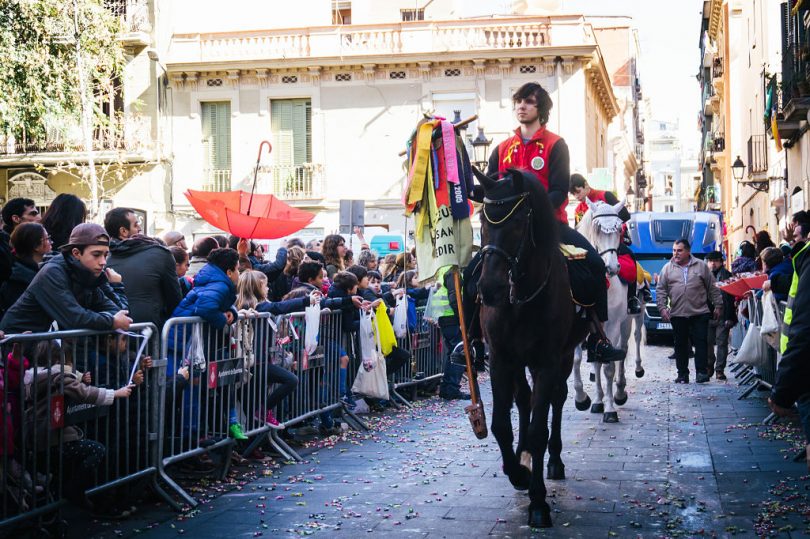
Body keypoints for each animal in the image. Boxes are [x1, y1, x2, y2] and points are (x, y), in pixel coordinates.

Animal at [470, 168, 584, 528]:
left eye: (519, 222)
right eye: (483, 219)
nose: (488, 288)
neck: (519, 299)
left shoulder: (547, 361)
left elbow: (537, 429)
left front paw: (538, 502)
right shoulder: (501, 360)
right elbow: (500, 425)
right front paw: (517, 471)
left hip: (562, 357)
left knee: (555, 401)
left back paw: (554, 461)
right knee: (525, 400)